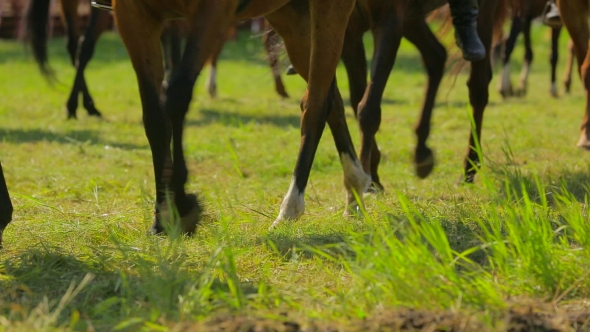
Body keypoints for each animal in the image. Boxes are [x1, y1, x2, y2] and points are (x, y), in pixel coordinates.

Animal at [26, 0, 370, 232]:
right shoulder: (134, 16)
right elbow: (154, 116)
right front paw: (163, 213)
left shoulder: (211, 12)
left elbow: (176, 95)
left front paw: (180, 204)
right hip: (290, 16)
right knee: (327, 97)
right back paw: (353, 189)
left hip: (327, 10)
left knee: (316, 106)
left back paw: (291, 206)